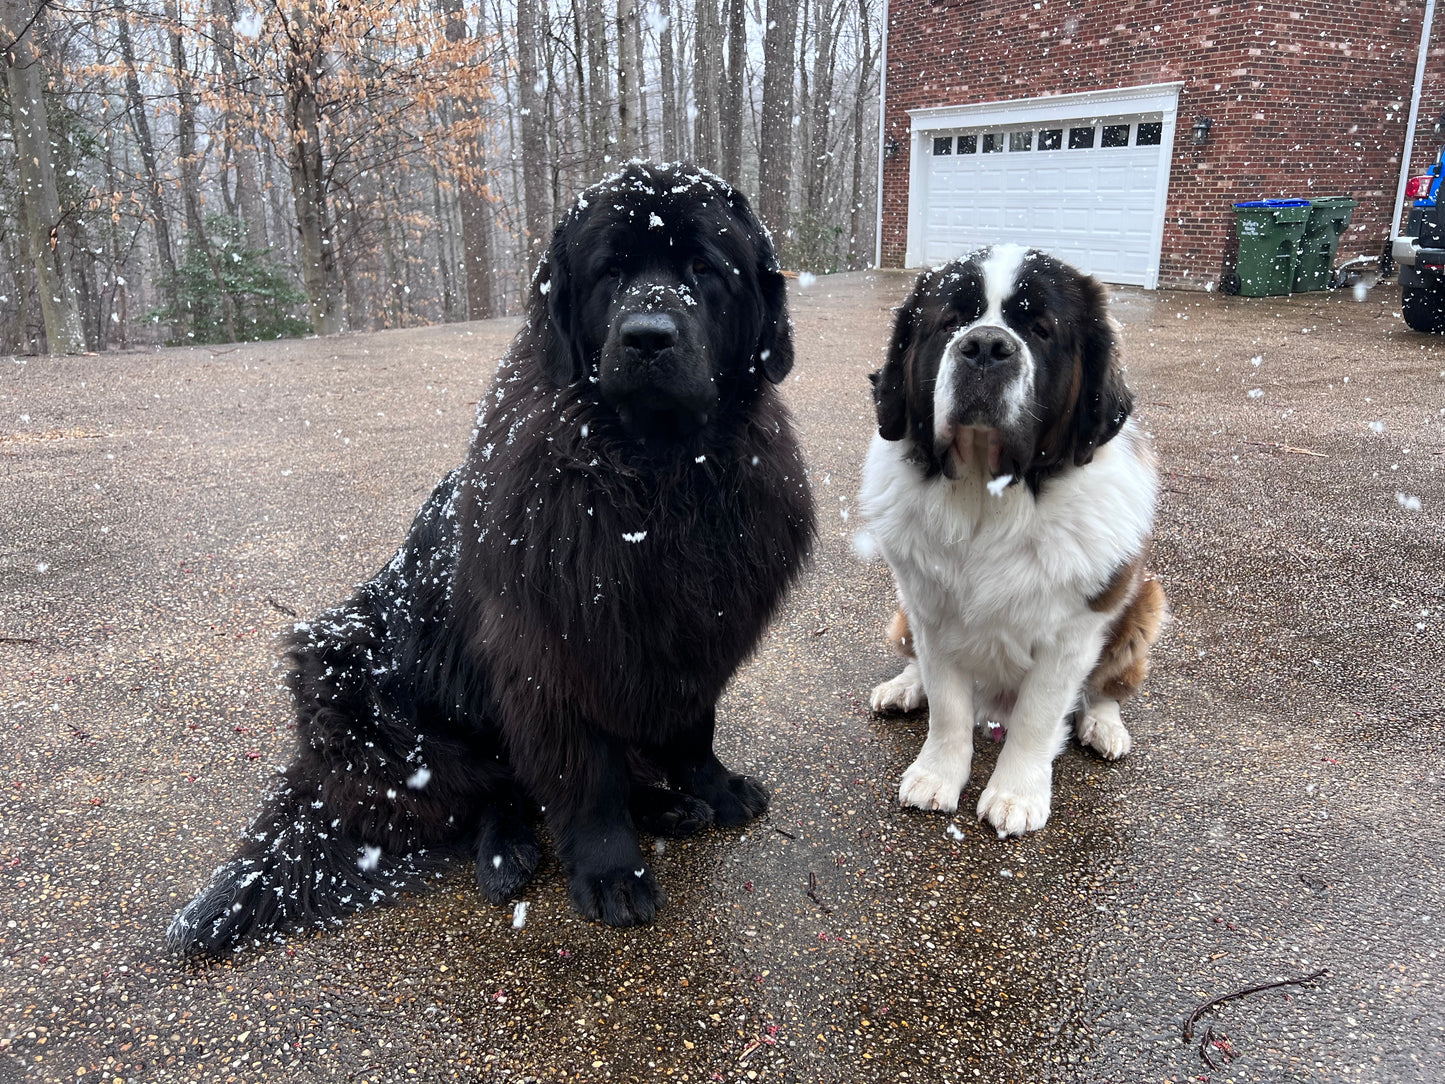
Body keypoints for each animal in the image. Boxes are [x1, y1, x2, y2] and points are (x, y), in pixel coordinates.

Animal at [169, 158, 814, 948]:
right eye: (610, 273)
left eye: (704, 268)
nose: (647, 337)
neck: (657, 477)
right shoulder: (552, 654)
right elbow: (585, 775)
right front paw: (611, 871)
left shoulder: (699, 632)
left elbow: (694, 726)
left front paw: (714, 788)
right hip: (353, 686)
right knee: (485, 794)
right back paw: (509, 853)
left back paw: (666, 807)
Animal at [855, 245, 1161, 838]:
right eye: (951, 322)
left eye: (1040, 329)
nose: (985, 346)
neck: (988, 501)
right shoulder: (930, 610)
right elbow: (948, 705)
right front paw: (936, 775)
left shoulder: (1073, 633)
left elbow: (1037, 717)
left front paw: (1016, 793)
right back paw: (905, 686)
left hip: (1144, 600)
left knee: (1106, 685)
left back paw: (1104, 725)